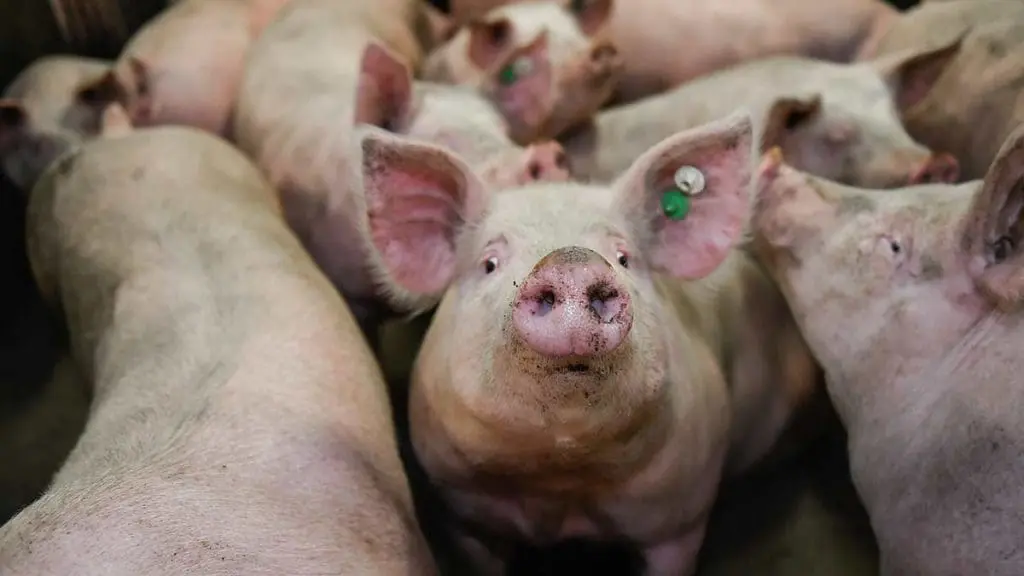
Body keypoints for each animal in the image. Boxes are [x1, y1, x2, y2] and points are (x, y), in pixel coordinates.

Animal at [356, 110, 819, 575]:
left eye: (624, 257)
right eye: (489, 262)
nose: (571, 261)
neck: (562, 478)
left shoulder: (682, 513)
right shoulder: (464, 510)